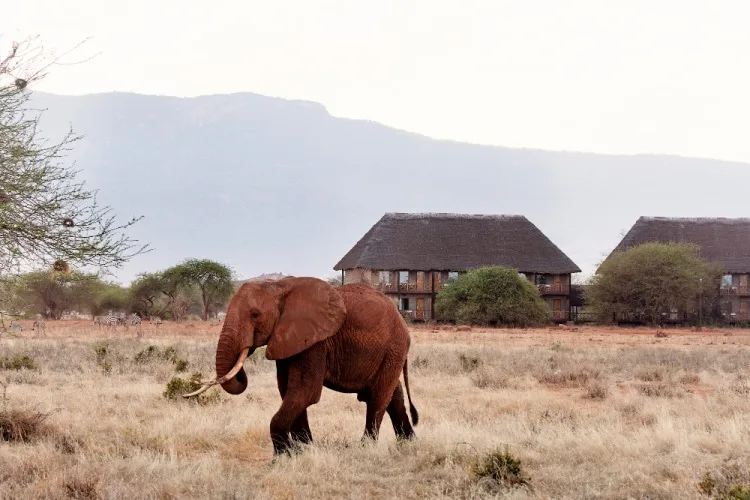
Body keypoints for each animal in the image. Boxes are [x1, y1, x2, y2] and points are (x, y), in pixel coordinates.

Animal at [184, 276, 419, 456]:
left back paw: (364, 448)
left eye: (255, 315)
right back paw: (408, 443)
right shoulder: (287, 339)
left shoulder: (314, 342)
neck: (279, 287)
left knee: (378, 397)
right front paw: (303, 449)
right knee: (393, 395)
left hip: (394, 348)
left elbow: (305, 391)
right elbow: (288, 390)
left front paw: (284, 455)